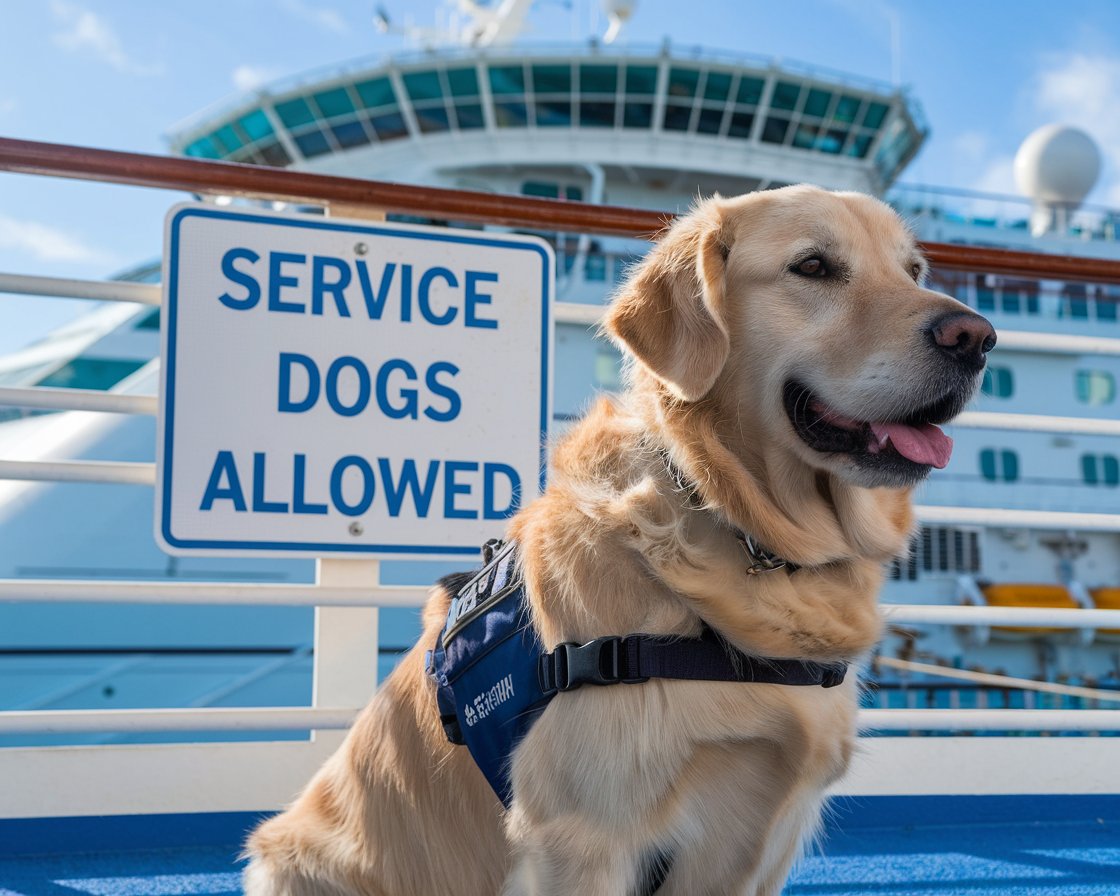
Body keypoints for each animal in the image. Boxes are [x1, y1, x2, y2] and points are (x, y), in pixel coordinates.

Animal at [240, 185, 994, 891]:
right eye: (813, 266)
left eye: (914, 269)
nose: (977, 337)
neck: (738, 528)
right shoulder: (583, 838)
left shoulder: (767, 837)